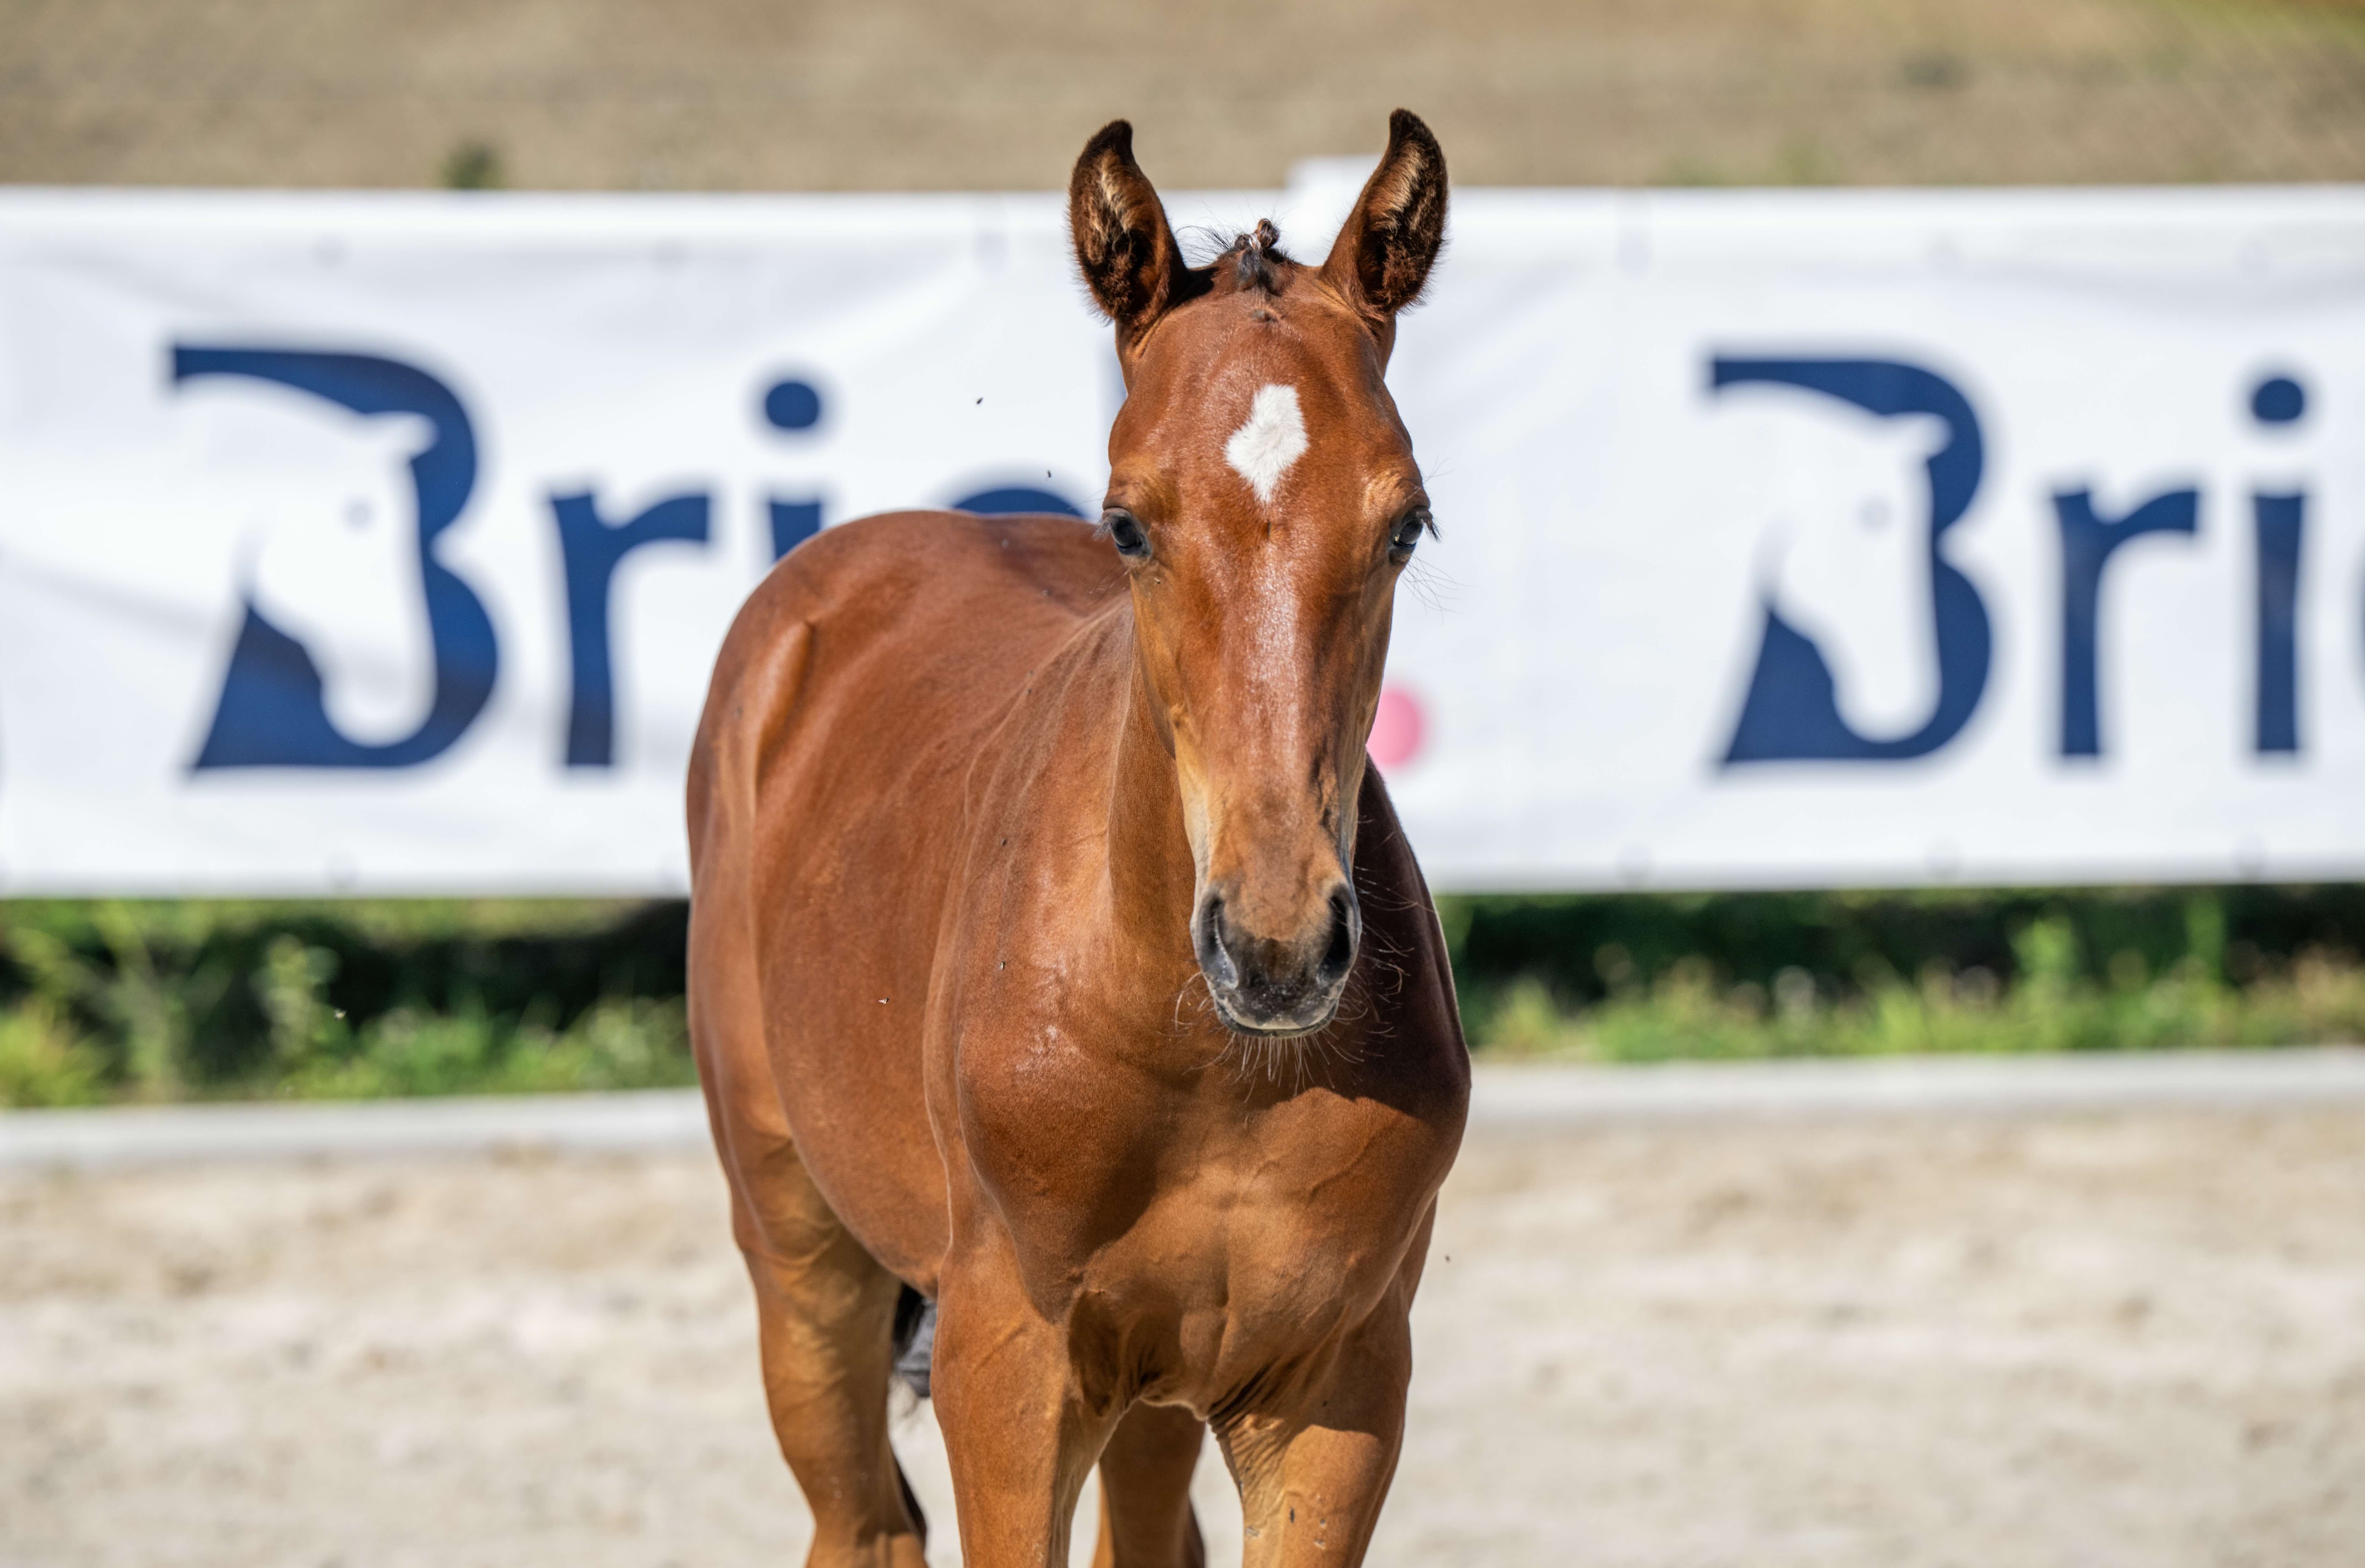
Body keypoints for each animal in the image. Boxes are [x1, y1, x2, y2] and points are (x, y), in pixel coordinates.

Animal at [686, 110, 1468, 1567]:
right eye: (1127, 522)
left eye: (1405, 522)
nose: (1277, 945)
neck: (1202, 1058)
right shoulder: (1006, 1366)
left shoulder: (1335, 1385)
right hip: (799, 1246)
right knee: (862, 1517)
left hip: (1159, 1380)